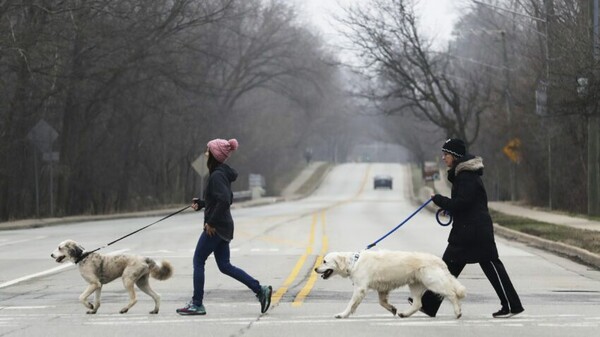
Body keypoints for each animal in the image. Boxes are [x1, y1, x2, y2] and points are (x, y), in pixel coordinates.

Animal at [316, 249, 466, 318]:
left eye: (324, 261)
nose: (315, 269)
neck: (353, 263)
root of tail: (440, 261)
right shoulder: (382, 288)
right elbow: (382, 302)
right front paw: (392, 308)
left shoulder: (360, 288)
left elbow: (351, 303)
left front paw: (342, 314)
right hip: (415, 284)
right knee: (417, 303)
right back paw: (404, 314)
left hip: (433, 282)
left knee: (452, 293)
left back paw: (458, 312)